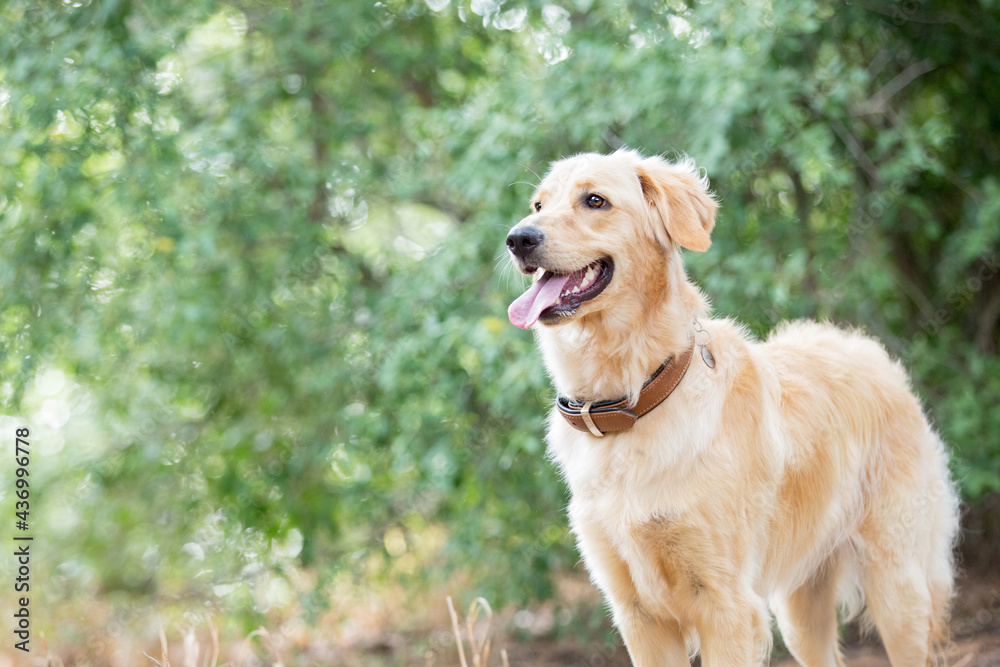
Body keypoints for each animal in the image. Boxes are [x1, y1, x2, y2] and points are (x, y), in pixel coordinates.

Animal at [504, 151, 956, 667]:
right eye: (538, 205)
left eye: (595, 200)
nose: (518, 238)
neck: (634, 399)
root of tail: (870, 351)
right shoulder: (638, 613)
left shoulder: (727, 605)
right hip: (801, 610)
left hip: (897, 589)